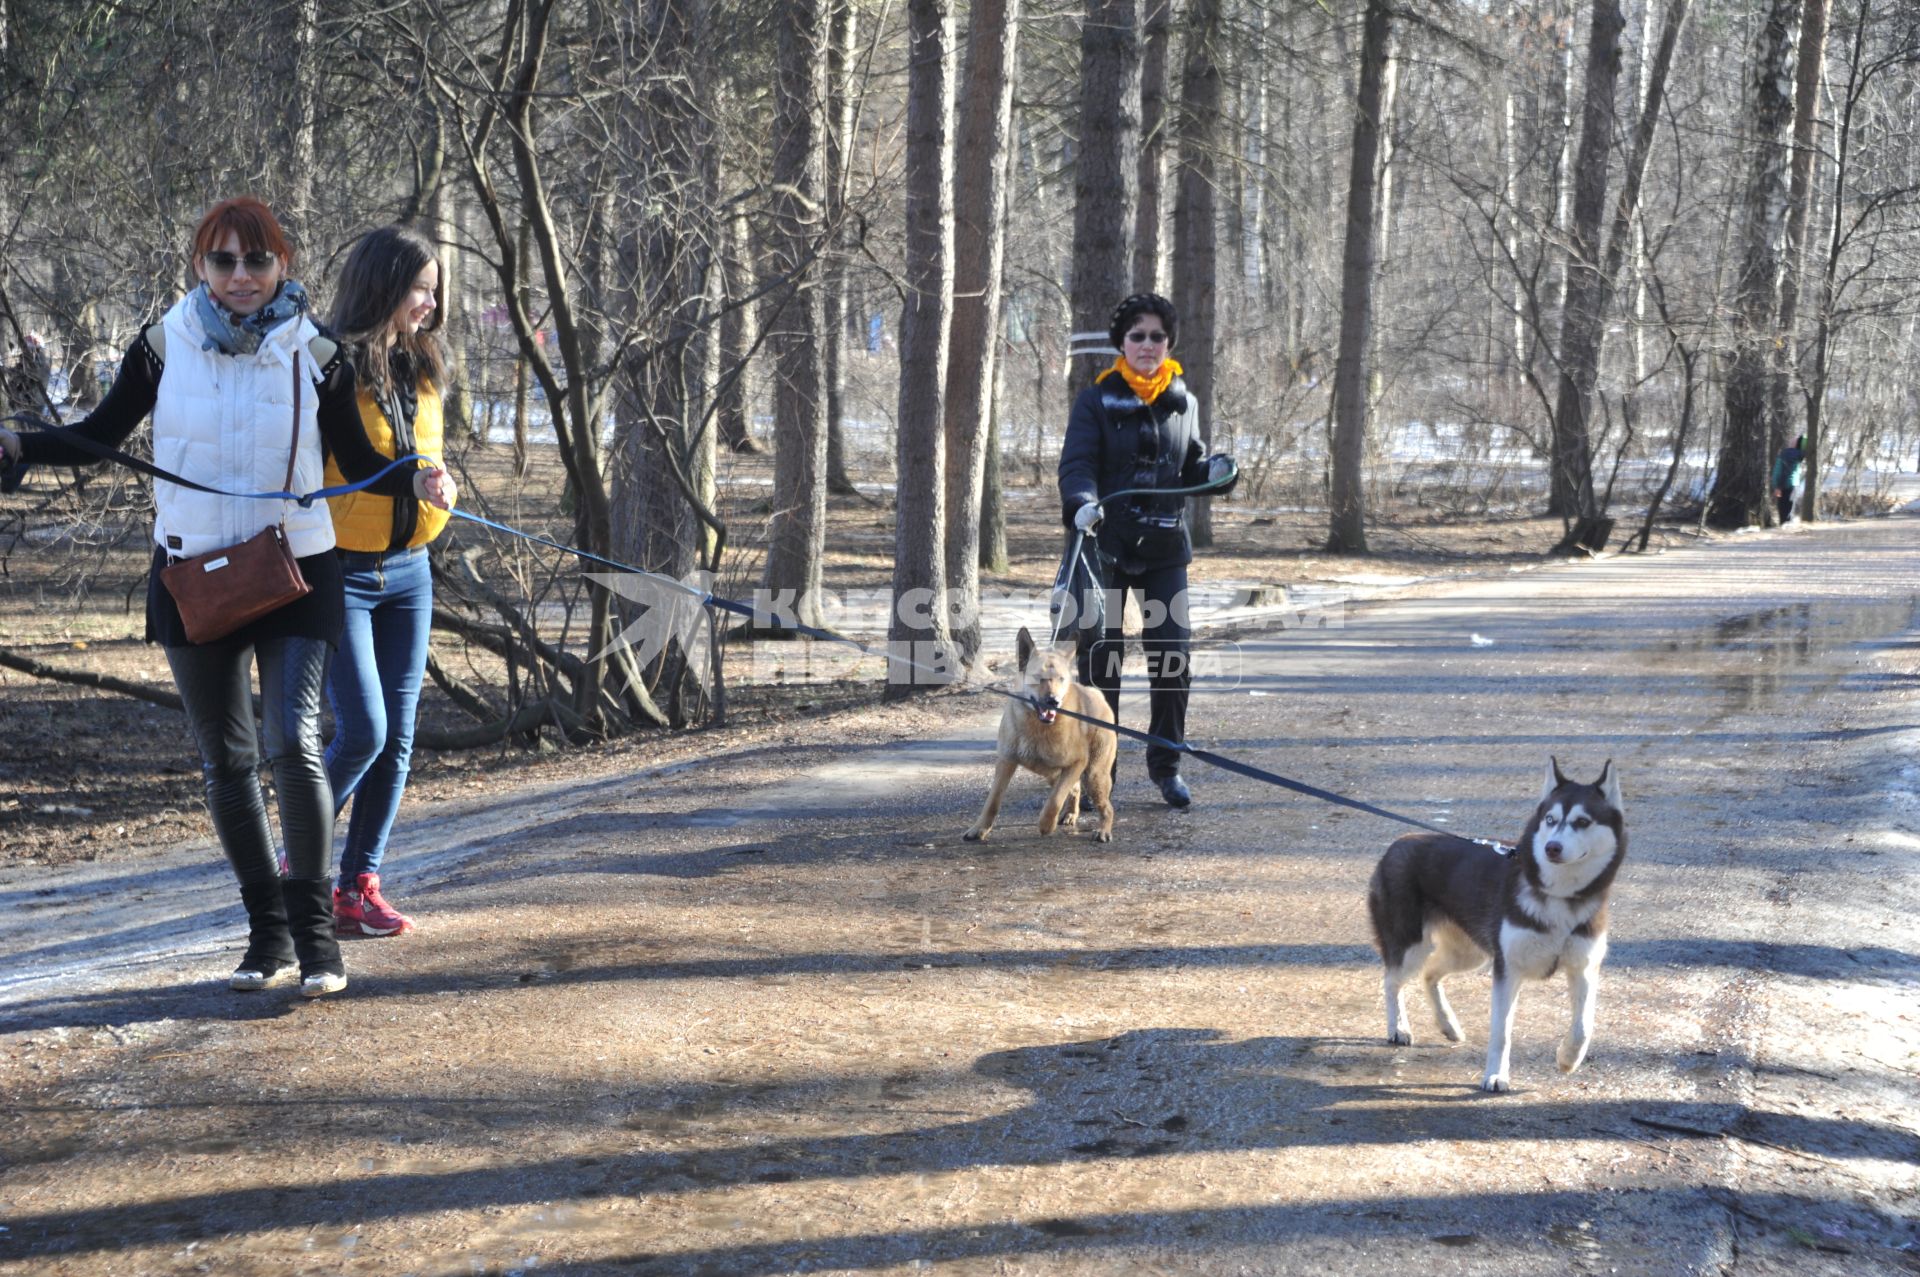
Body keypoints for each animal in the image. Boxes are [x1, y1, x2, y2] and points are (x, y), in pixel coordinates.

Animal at [967, 622, 1121, 841]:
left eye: (1061, 679)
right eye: (1038, 678)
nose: (1053, 701)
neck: (1038, 728)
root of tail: (1094, 693)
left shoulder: (1077, 763)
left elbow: (1055, 800)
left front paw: (1046, 825)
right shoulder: (1006, 762)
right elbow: (992, 801)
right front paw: (979, 828)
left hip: (1093, 775)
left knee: (1105, 806)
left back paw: (1104, 830)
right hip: (1055, 774)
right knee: (1075, 788)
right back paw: (1071, 813)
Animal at [1374, 752, 1628, 1090]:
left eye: (1583, 822)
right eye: (1550, 820)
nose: (1551, 847)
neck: (1560, 897)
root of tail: (1398, 842)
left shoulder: (1583, 967)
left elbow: (1583, 1026)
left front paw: (1568, 1059)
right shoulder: (1507, 969)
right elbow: (1501, 1033)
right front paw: (1495, 1075)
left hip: (1470, 954)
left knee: (1430, 974)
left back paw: (1447, 1024)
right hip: (1412, 946)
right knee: (1392, 981)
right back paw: (1398, 1027)